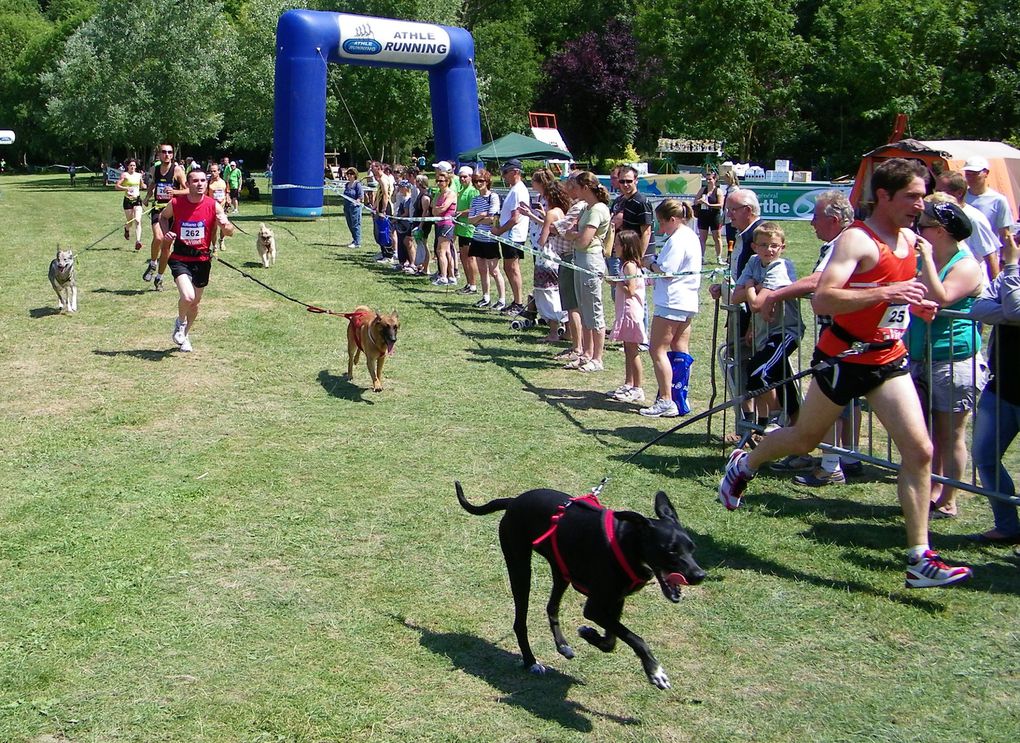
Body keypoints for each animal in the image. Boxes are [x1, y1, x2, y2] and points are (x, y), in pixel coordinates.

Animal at [459, 481, 705, 689]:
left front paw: (590, 635)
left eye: (692, 548)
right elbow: (635, 638)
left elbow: (612, 641)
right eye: (670, 550)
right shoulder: (595, 608)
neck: (627, 542)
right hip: (520, 569)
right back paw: (531, 661)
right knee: (520, 622)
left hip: (561, 572)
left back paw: (562, 645)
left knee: (551, 607)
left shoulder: (616, 600)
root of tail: (513, 501)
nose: (699, 575)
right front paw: (655, 672)